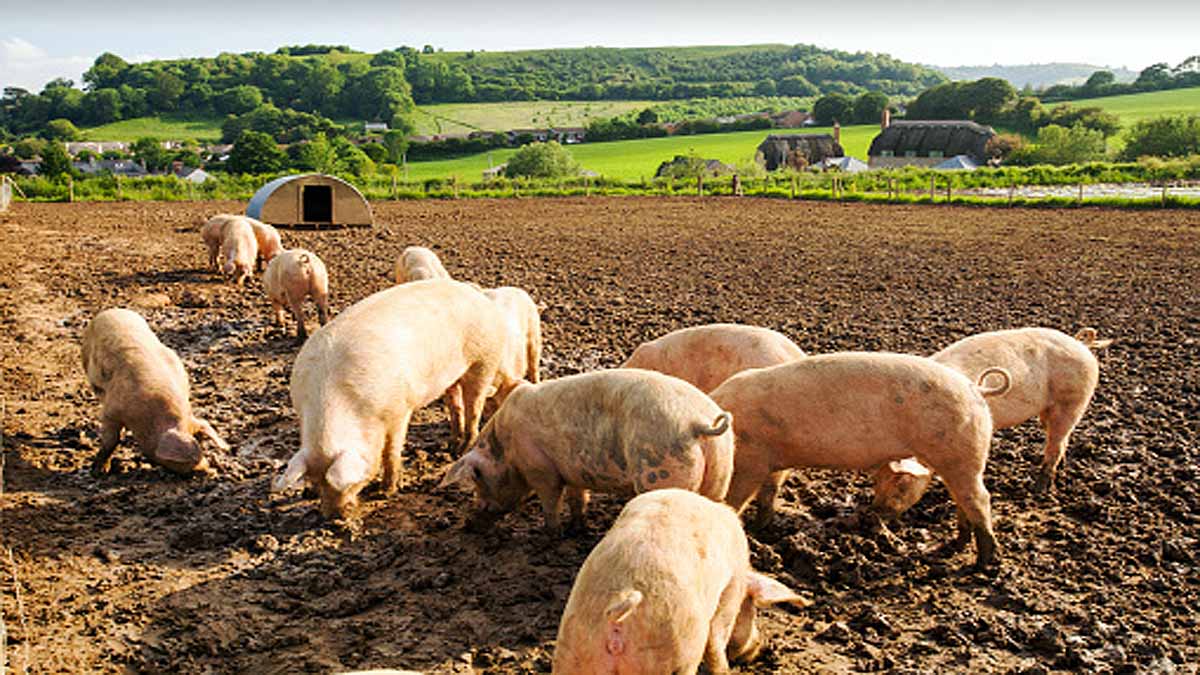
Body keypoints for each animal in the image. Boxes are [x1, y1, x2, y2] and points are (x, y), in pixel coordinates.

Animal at [273, 279, 514, 519]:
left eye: (349, 484)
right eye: (316, 481)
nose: (334, 517)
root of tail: (474, 291)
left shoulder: (399, 409)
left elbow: (391, 452)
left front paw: (386, 492)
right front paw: (309, 494)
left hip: (484, 361)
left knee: (474, 407)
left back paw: (463, 448)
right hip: (452, 378)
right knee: (456, 406)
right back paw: (452, 446)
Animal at [439, 368, 735, 535]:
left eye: (478, 480)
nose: (468, 525)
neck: (506, 448)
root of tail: (697, 422)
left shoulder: (540, 469)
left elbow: (551, 501)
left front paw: (551, 534)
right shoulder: (572, 470)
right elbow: (577, 498)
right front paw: (577, 529)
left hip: (660, 471)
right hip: (721, 473)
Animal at [553, 489, 806, 675]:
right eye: (754, 611)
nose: (760, 646)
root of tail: (618, 612)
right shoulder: (731, 589)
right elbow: (717, 638)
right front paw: (724, 670)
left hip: (572, 650)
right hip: (669, 655)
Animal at [710, 352, 1011, 568]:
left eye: (900, 484)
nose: (873, 512)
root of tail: (976, 389)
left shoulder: (752, 459)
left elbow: (737, 498)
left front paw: (743, 527)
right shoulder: (773, 461)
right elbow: (768, 493)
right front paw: (760, 529)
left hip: (961, 453)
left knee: (980, 499)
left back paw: (983, 563)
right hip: (956, 458)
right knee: (962, 498)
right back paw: (955, 546)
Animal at [872, 326, 1114, 518]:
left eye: (902, 483)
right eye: (877, 481)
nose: (873, 514)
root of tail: (1080, 343)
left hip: (1073, 400)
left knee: (1057, 442)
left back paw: (1039, 489)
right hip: (1049, 410)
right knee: (1060, 439)